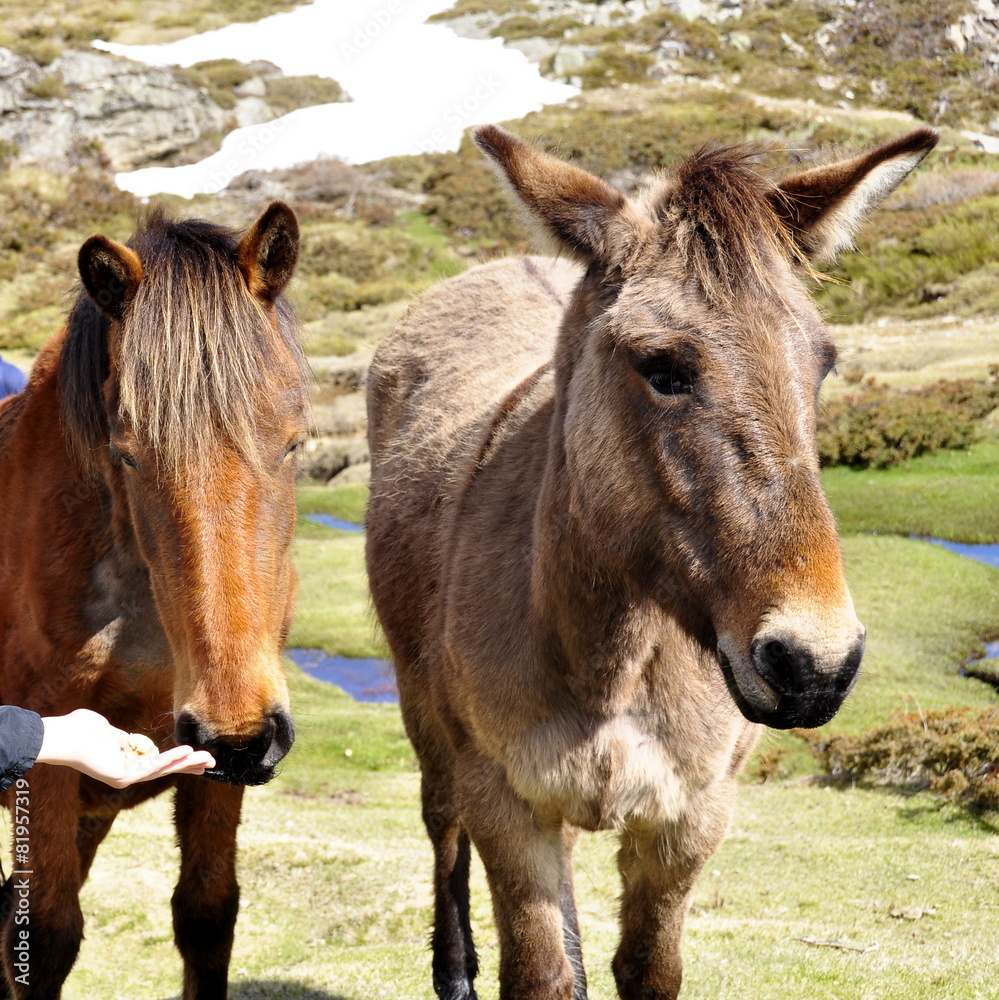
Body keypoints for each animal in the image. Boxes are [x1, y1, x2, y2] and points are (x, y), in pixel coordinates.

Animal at [0, 199, 306, 996]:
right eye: (128, 455)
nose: (238, 734)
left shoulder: (211, 767)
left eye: (294, 443)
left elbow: (207, 914)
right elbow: (45, 933)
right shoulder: (47, 750)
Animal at [368, 127, 936, 1000]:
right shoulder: (505, 805)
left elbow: (647, 968)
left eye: (823, 363)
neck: (611, 653)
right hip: (425, 716)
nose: (814, 665)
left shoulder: (688, 820)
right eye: (661, 367)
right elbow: (537, 973)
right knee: (440, 823)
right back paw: (453, 967)